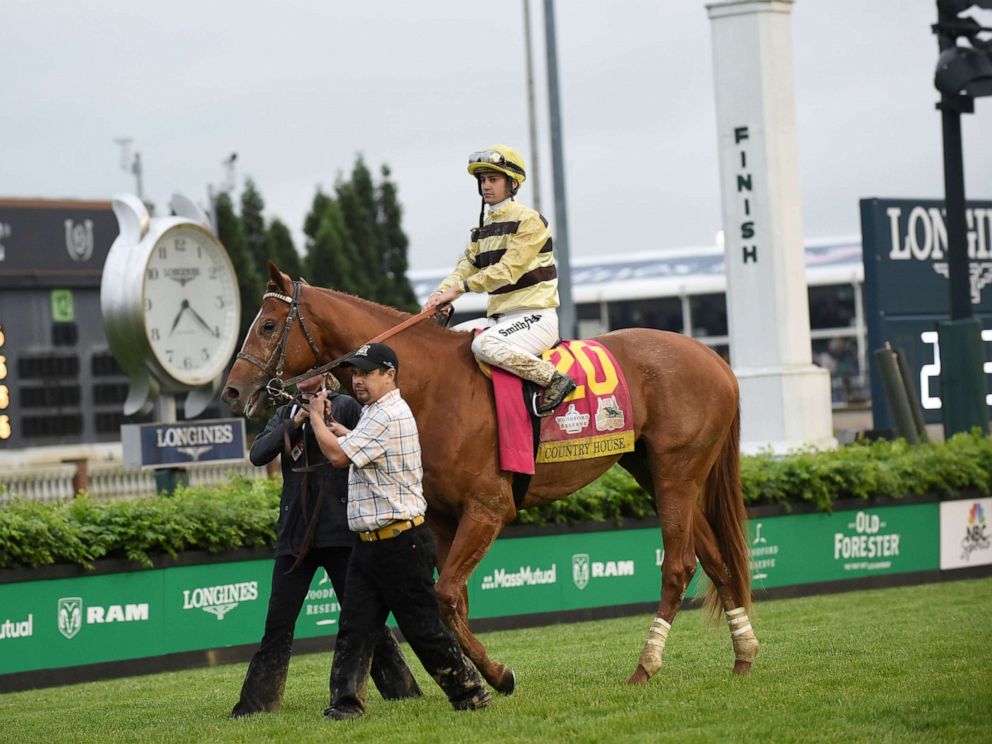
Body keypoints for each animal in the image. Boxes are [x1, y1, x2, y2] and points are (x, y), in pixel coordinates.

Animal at [221, 264, 756, 692]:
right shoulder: (441, 517)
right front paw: (478, 675)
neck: (432, 384)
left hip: (676, 473)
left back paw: (646, 665)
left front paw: (496, 674)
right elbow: (454, 600)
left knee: (679, 566)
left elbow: (444, 595)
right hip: (655, 471)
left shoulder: (488, 508)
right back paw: (744, 655)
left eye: (268, 325)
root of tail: (716, 359)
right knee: (716, 559)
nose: (232, 391)